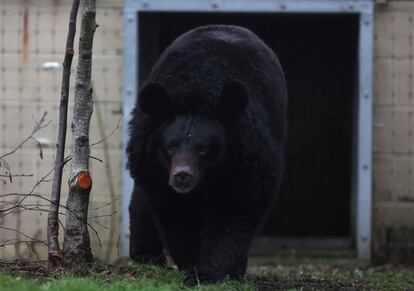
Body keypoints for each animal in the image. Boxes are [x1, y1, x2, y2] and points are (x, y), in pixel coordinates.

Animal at [128, 25, 286, 286]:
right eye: (170, 147)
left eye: (202, 148)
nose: (182, 176)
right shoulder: (154, 168)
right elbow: (176, 214)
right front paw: (190, 264)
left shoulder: (248, 162)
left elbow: (236, 210)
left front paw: (206, 273)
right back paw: (146, 256)